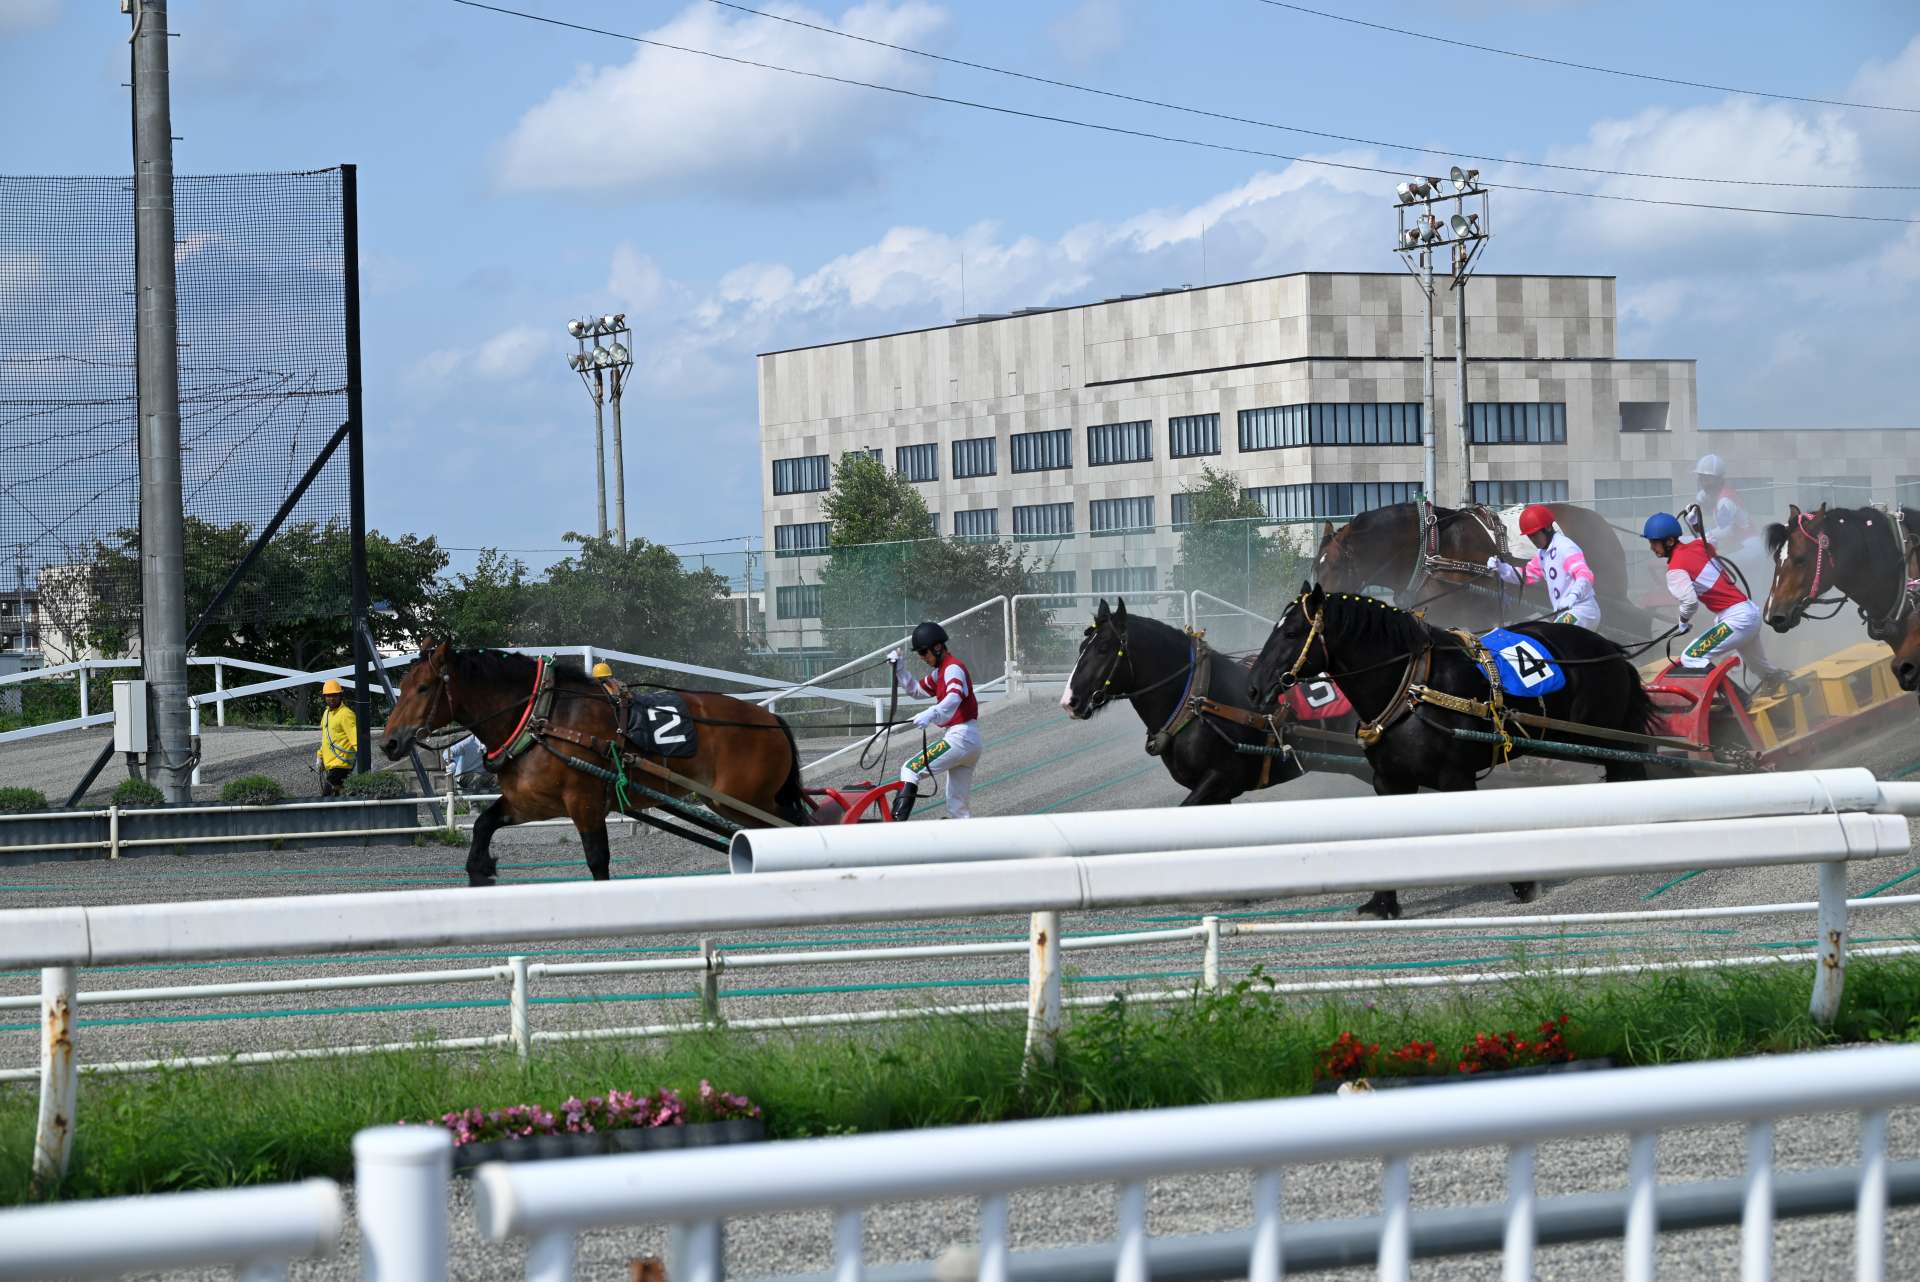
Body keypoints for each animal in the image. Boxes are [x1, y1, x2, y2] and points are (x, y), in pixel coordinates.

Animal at [380, 643, 807, 886]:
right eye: (402, 687)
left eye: (423, 688)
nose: (389, 742)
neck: (545, 716)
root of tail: (770, 721)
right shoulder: (529, 803)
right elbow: (484, 824)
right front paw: (480, 871)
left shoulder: (584, 802)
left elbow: (597, 858)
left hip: (745, 799)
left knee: (794, 827)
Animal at [1059, 598, 1363, 805]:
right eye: (1081, 647)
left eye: (1103, 648)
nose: (1070, 700)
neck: (1197, 703)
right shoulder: (1215, 792)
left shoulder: (1220, 780)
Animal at [1244, 583, 1657, 919]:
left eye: (1292, 632)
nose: (1253, 687)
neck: (1413, 689)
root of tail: (1610, 650)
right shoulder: (1389, 782)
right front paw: (1382, 901)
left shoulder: (1455, 779)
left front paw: (1522, 884)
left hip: (1604, 739)